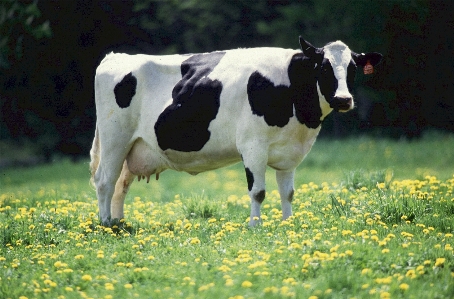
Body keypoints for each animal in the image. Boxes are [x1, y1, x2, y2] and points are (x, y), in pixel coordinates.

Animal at [90, 36, 382, 226]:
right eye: (323, 67)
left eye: (353, 68)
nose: (343, 99)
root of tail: (114, 57)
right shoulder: (253, 146)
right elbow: (258, 191)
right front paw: (255, 226)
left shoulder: (290, 153)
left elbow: (287, 192)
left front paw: (288, 223)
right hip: (114, 138)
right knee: (105, 181)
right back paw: (106, 224)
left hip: (134, 147)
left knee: (121, 184)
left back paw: (119, 222)